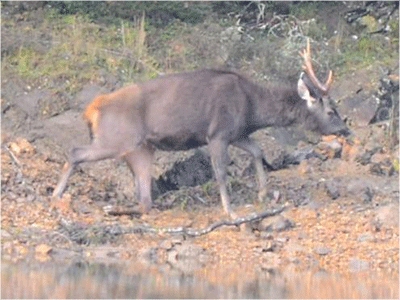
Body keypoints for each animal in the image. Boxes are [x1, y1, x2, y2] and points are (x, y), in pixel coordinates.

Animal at [54, 39, 350, 218]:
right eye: (331, 111)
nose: (346, 131)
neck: (252, 107)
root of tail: (91, 109)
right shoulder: (217, 133)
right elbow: (220, 172)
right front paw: (230, 210)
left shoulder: (237, 133)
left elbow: (258, 151)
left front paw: (263, 193)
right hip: (116, 138)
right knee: (74, 151)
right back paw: (57, 194)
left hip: (141, 149)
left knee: (145, 200)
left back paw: (114, 208)